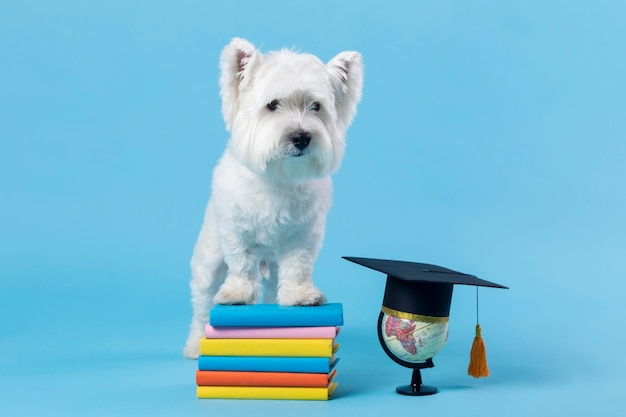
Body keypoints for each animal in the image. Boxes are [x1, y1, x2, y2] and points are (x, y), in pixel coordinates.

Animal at [183, 37, 364, 360]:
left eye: (316, 106)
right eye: (272, 105)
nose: (301, 137)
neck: (279, 179)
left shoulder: (304, 237)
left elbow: (298, 268)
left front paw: (300, 295)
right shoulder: (236, 232)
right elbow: (241, 263)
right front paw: (238, 293)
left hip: (274, 266)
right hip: (209, 259)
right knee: (202, 303)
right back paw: (194, 344)